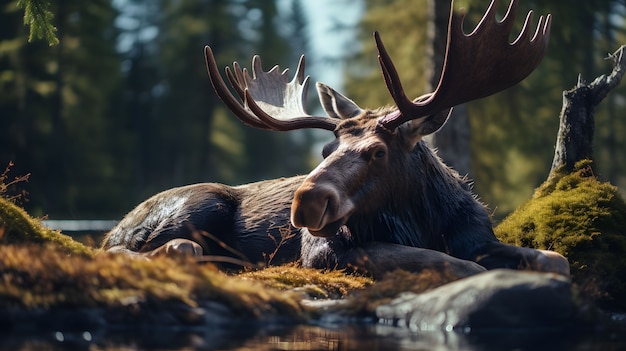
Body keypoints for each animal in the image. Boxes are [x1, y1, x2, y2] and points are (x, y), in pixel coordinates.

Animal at [101, 0, 564, 280]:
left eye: (377, 151)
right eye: (326, 149)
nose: (306, 201)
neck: (423, 219)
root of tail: (116, 225)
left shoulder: (479, 236)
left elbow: (553, 258)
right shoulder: (322, 252)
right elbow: (454, 264)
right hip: (197, 205)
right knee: (137, 249)